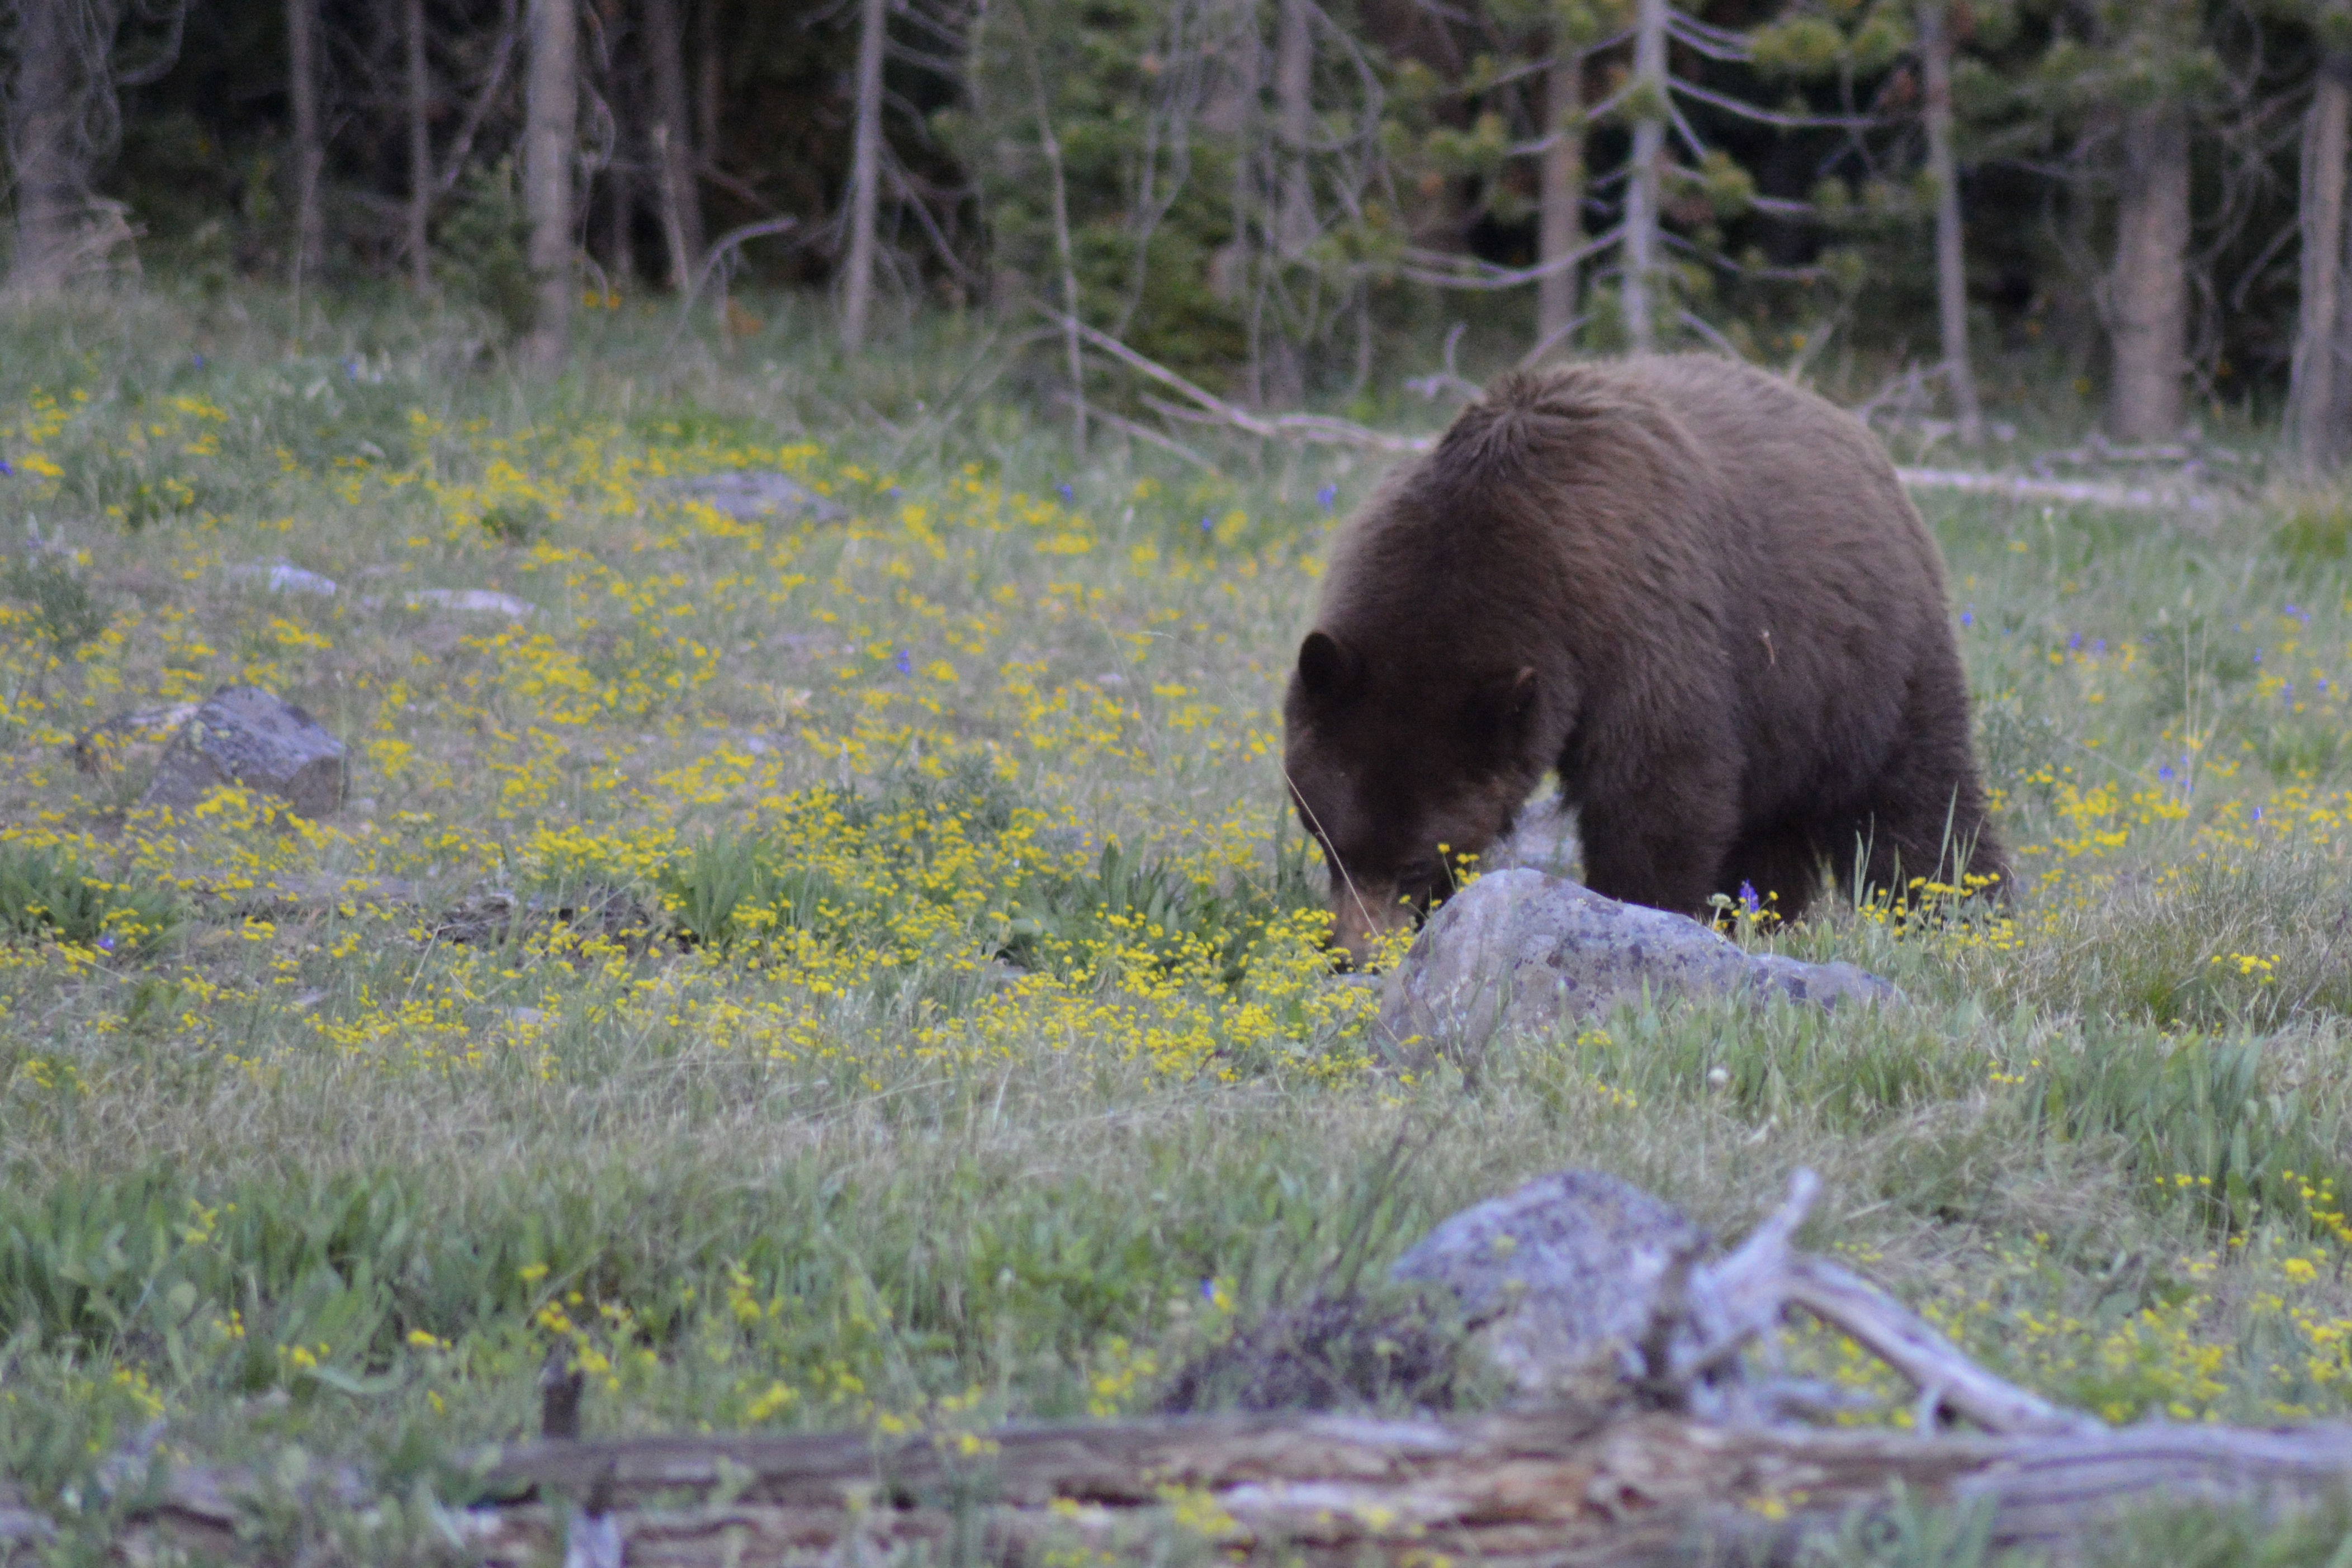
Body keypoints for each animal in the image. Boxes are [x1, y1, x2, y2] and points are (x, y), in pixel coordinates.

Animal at [1289, 355, 2004, 968]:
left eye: (1412, 861)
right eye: (1327, 843)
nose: (1350, 958)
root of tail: (1858, 435)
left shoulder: (1639, 617)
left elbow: (1656, 784)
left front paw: (1635, 913)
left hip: (1865, 656)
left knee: (1916, 798)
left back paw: (1962, 916)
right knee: (1772, 829)